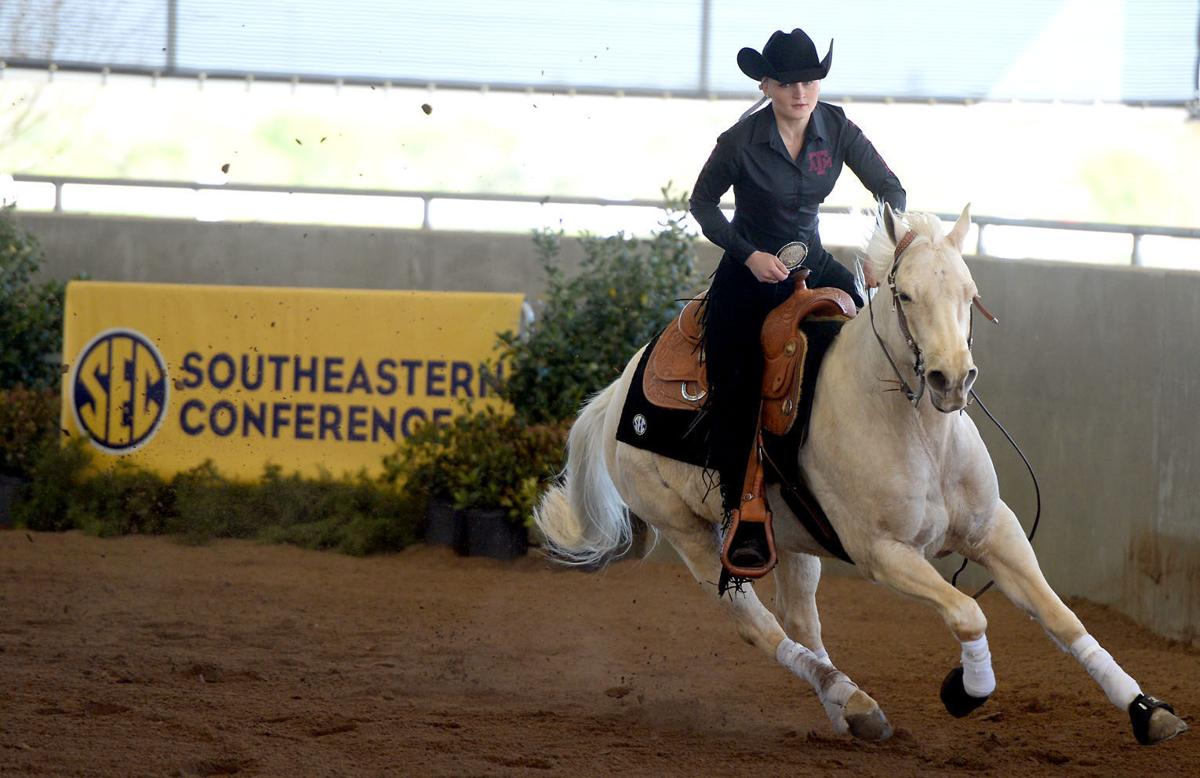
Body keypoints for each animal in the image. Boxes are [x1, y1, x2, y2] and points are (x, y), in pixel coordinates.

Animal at [537, 204, 1190, 744]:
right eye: (905, 295)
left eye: (970, 292)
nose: (951, 379)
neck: (918, 435)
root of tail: (619, 391)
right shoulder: (884, 553)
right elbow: (968, 611)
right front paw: (966, 690)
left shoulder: (995, 532)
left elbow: (1061, 617)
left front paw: (1146, 711)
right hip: (693, 537)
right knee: (758, 625)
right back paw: (852, 701)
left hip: (791, 541)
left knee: (802, 623)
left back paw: (849, 707)